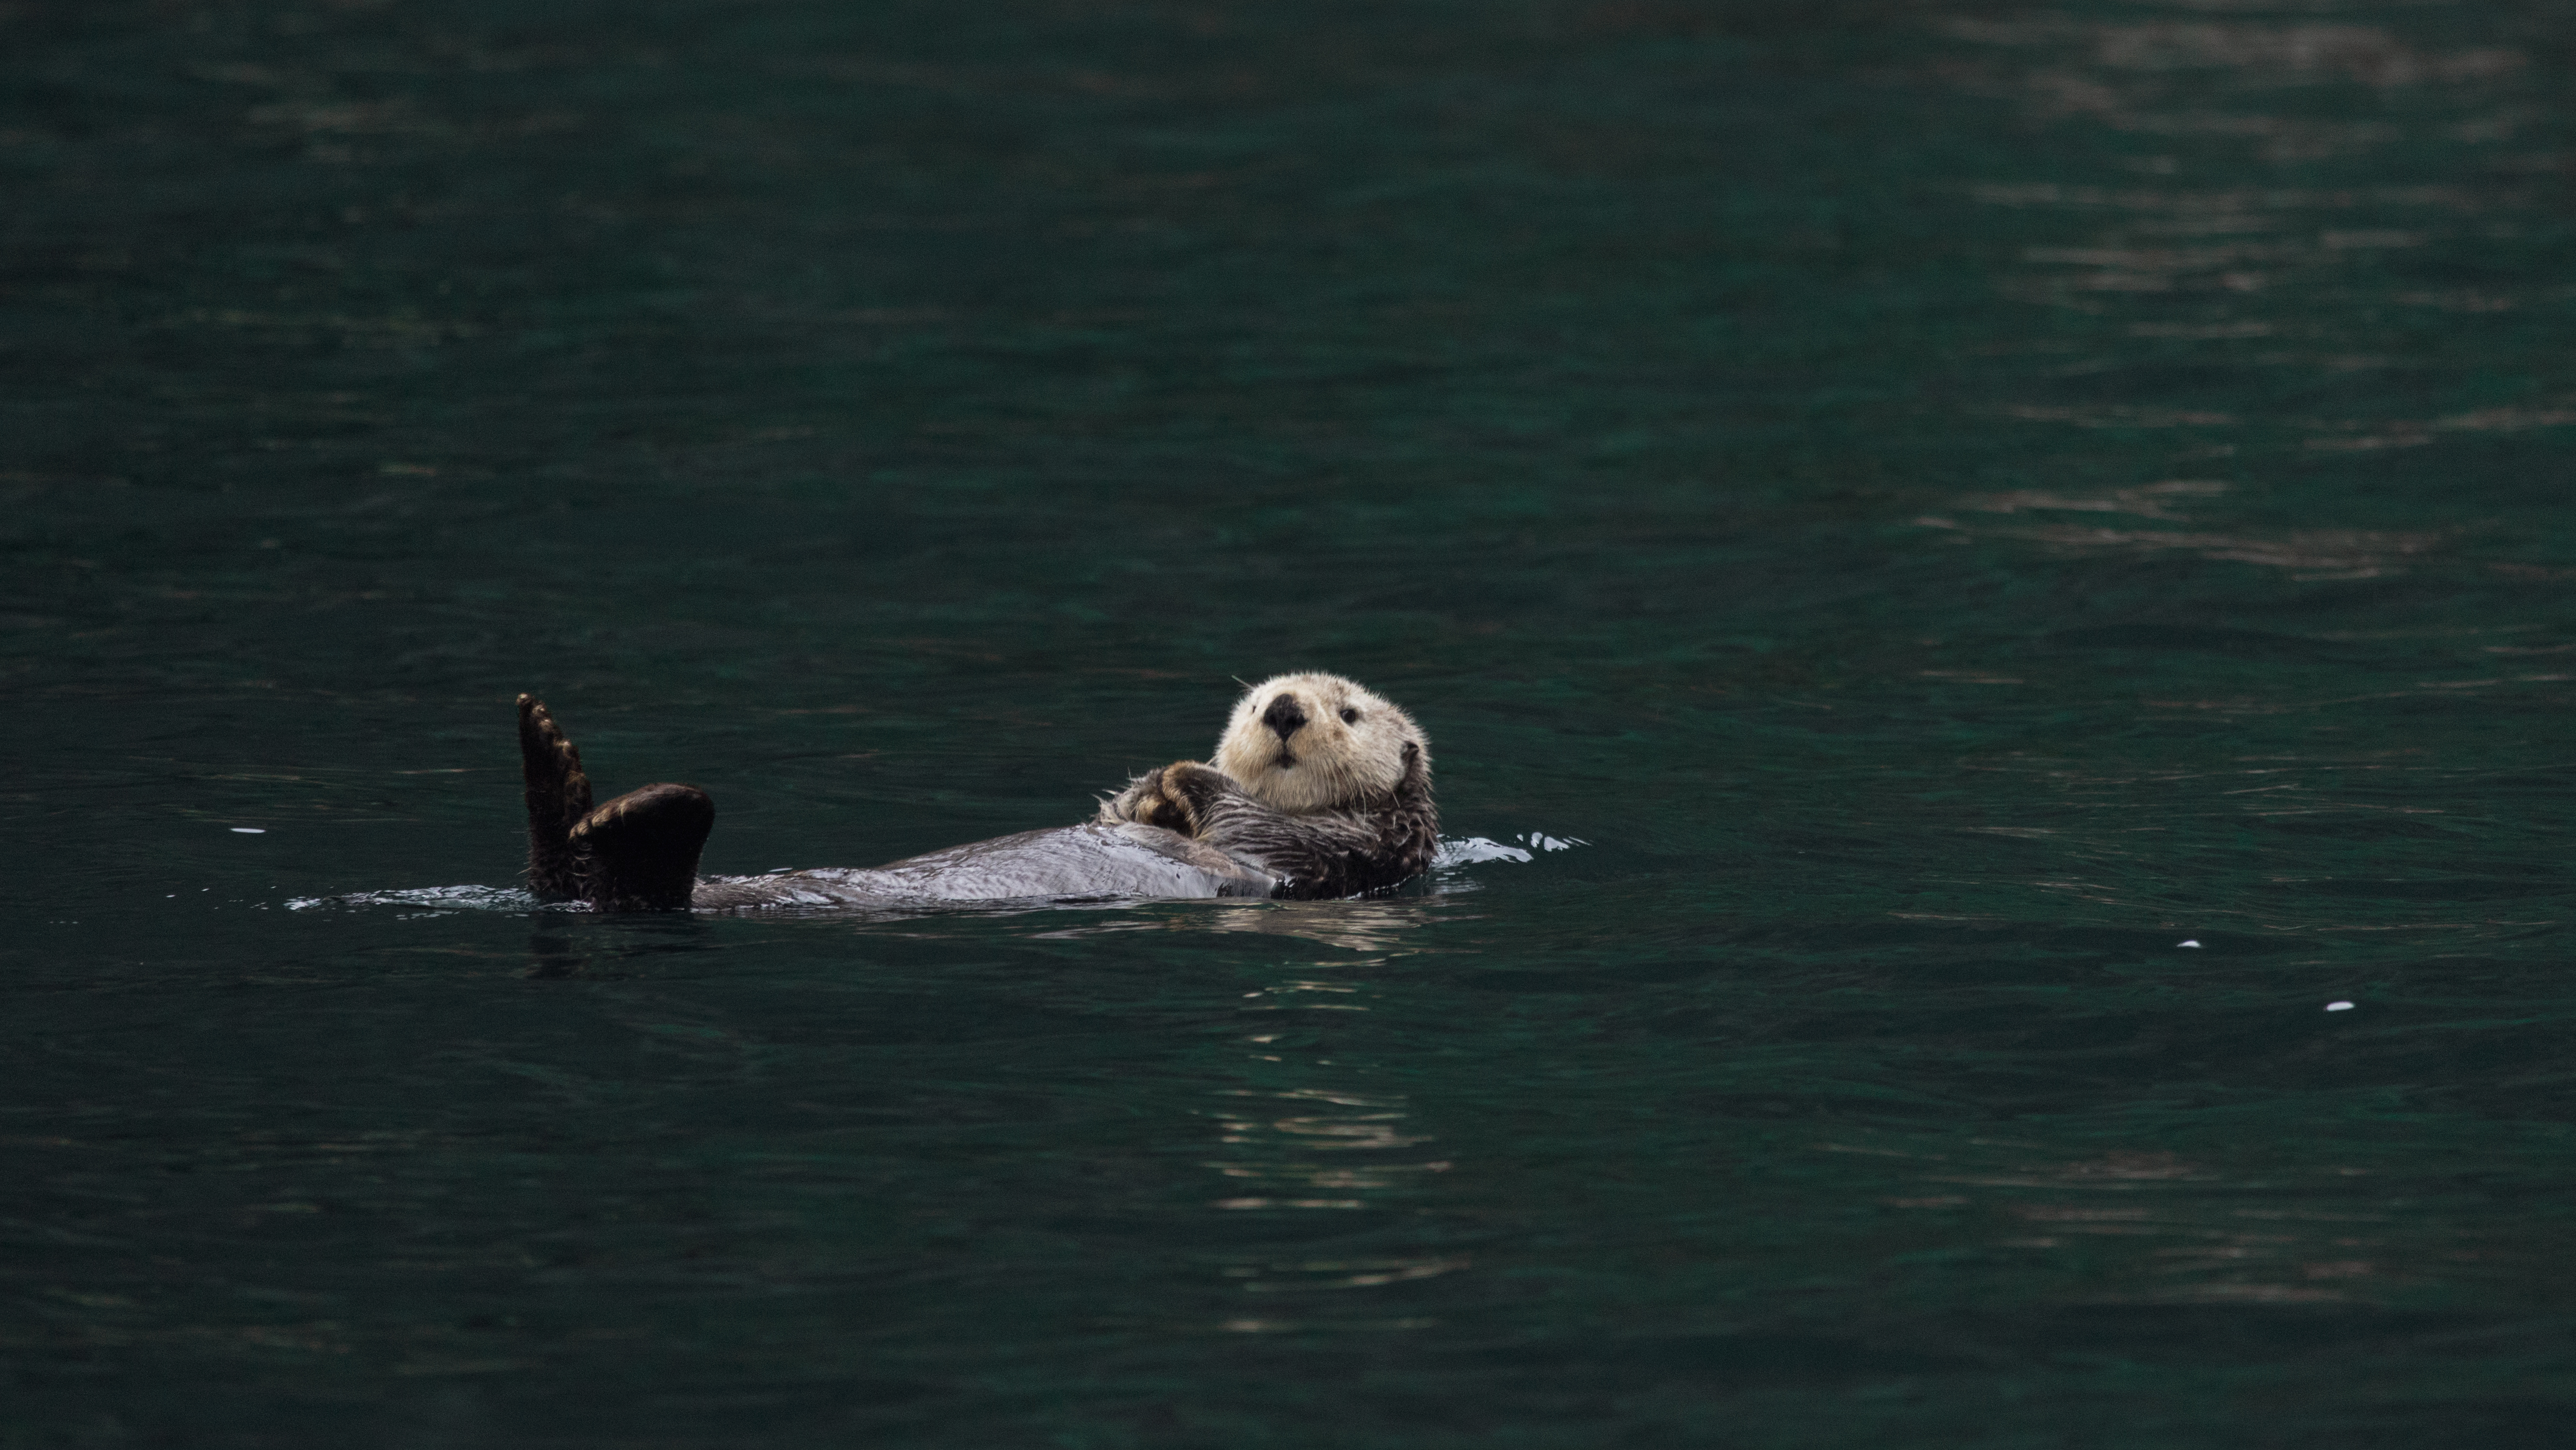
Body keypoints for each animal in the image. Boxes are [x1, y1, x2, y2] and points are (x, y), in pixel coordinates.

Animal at [517, 673, 1437, 910]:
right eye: (1253, 704)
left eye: (1348, 711)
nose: (1282, 709)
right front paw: (1148, 793)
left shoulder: (1349, 849)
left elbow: (1253, 825)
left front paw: (1181, 779)